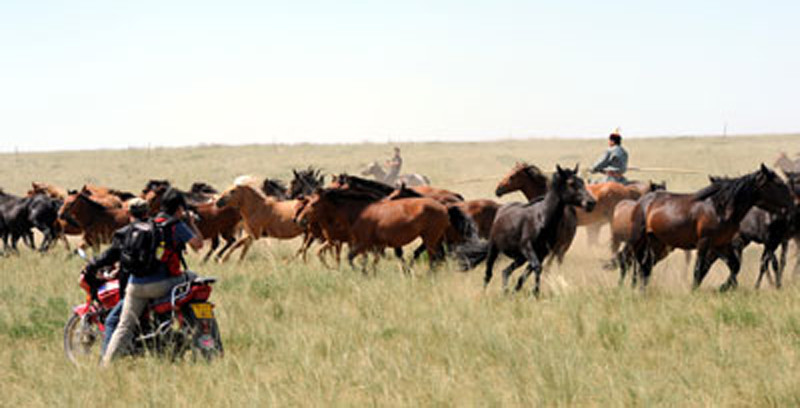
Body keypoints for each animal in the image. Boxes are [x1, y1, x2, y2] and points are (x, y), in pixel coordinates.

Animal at [456, 166, 592, 296]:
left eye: (581, 181)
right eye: (571, 183)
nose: (591, 202)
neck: (542, 218)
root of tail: (500, 210)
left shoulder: (542, 253)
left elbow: (531, 271)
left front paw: (520, 290)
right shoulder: (528, 248)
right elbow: (536, 268)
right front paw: (535, 292)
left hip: (524, 256)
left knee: (506, 271)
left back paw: (506, 291)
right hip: (494, 250)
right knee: (488, 274)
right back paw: (485, 293)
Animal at [632, 164, 792, 292]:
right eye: (779, 184)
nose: (792, 203)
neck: (719, 209)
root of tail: (642, 200)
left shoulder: (721, 244)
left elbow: (734, 266)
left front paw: (723, 287)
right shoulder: (704, 242)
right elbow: (698, 269)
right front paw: (694, 291)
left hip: (657, 243)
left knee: (646, 267)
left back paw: (642, 292)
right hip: (640, 241)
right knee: (639, 265)